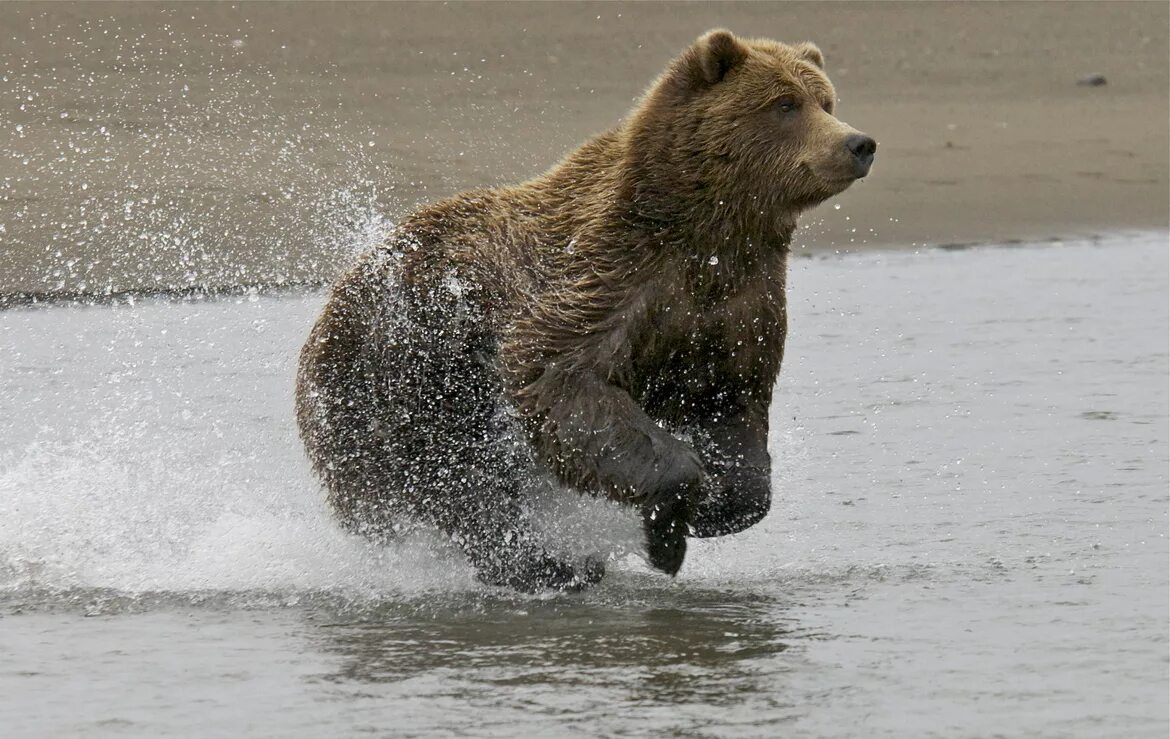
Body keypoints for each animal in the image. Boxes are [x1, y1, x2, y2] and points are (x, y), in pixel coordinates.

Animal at [297, 28, 875, 591]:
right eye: (785, 104)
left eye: (825, 99)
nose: (858, 143)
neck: (706, 235)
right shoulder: (605, 278)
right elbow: (561, 376)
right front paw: (671, 520)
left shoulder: (735, 308)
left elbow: (731, 404)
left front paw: (711, 506)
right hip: (405, 374)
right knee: (453, 478)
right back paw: (546, 565)